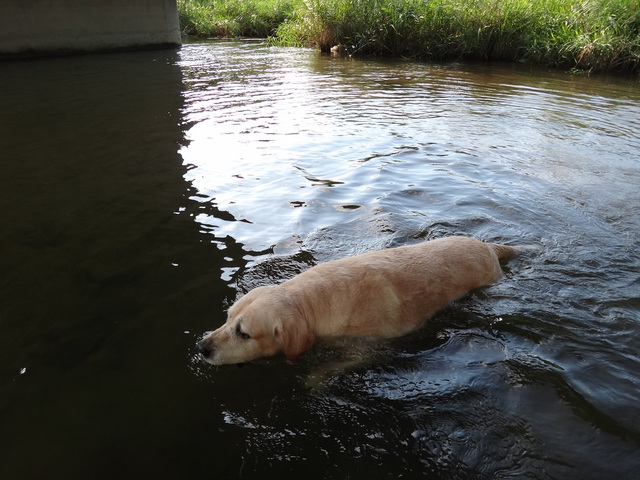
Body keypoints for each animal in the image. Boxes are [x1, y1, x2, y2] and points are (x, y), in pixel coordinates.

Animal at [199, 238, 520, 366]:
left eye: (243, 333)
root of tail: (488, 246)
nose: (201, 348)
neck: (311, 302)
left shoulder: (364, 350)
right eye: (227, 318)